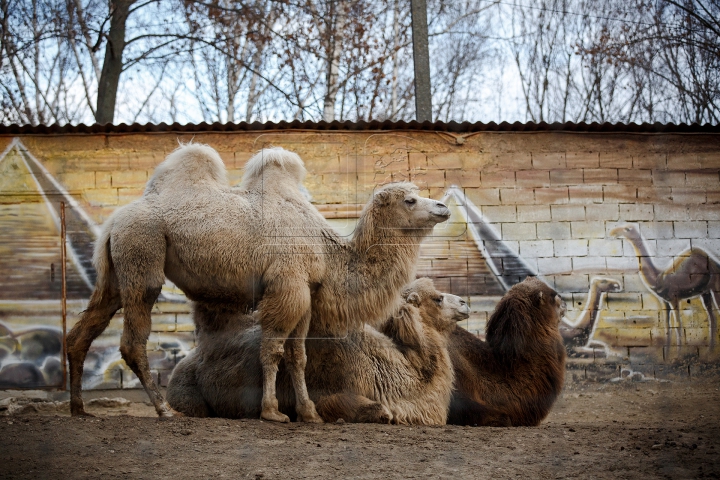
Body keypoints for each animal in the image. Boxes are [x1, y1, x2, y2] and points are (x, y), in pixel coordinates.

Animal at [67, 144, 450, 422]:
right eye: (410, 199)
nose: (443, 207)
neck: (328, 252)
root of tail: (114, 220)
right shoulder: (287, 285)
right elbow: (273, 348)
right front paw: (271, 412)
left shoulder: (305, 292)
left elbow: (298, 355)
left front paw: (309, 414)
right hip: (142, 253)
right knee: (132, 339)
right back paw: (163, 410)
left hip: (114, 274)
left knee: (83, 330)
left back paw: (79, 409)